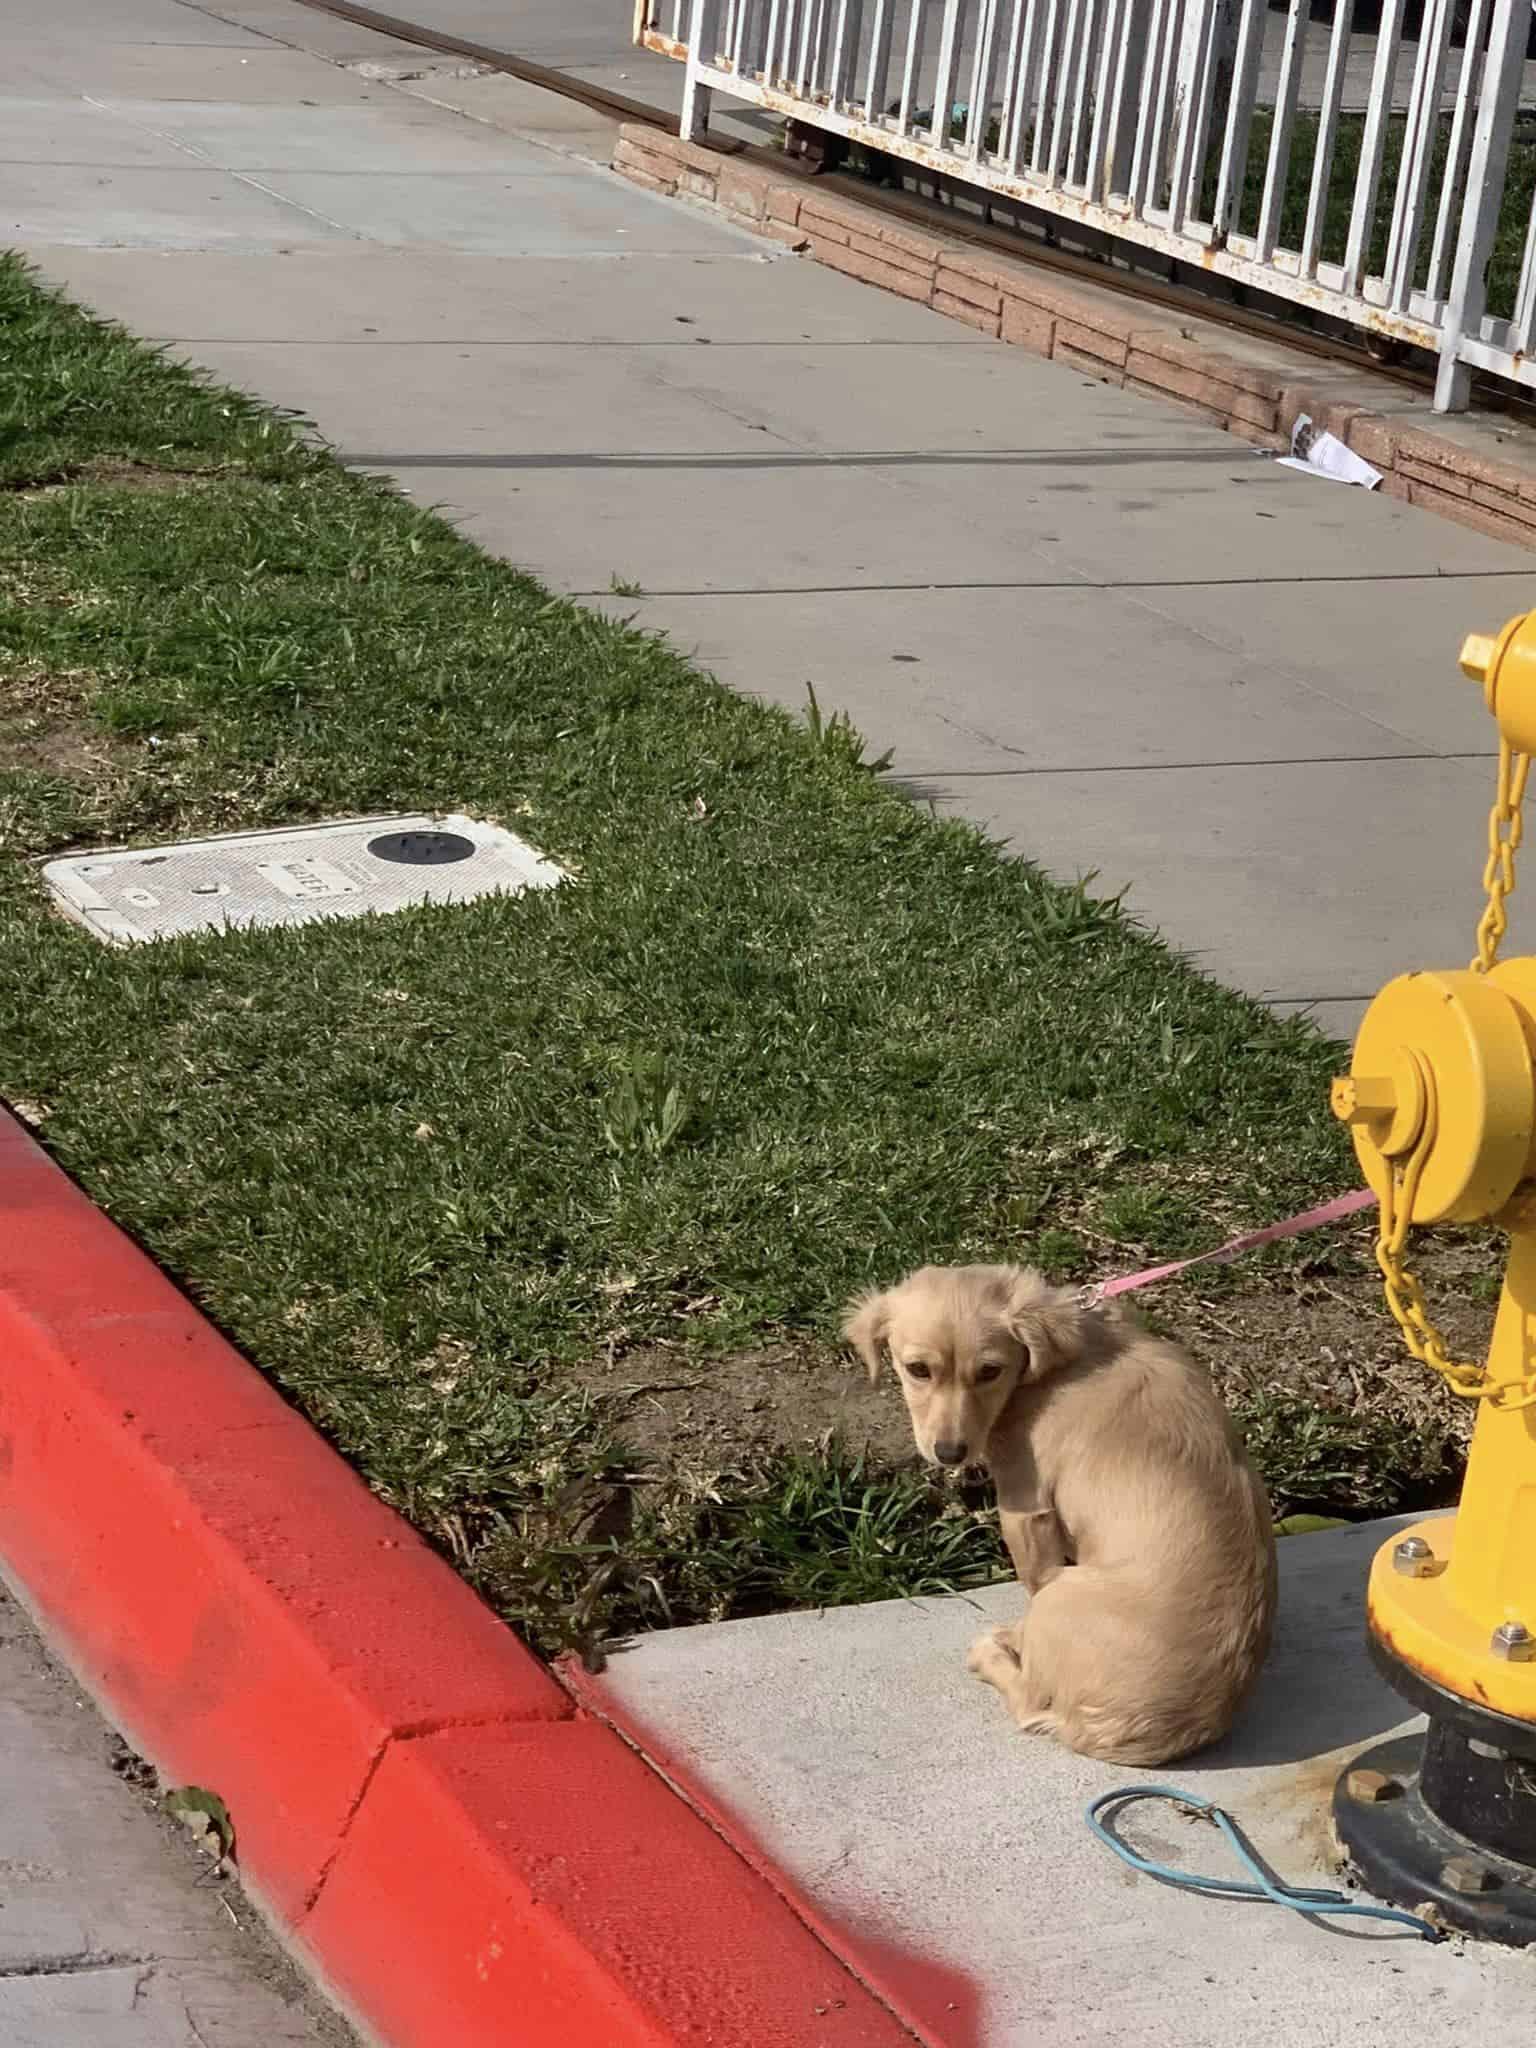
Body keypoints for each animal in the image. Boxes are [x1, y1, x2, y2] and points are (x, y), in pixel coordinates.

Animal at [847, 1253, 1277, 1769]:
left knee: (1031, 1700)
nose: (950, 1454)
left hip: (1061, 1596)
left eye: (990, 1371)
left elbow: (1031, 1579)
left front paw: (1014, 1635)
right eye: (918, 1370)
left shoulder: (1023, 1506)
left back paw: (994, 1651)